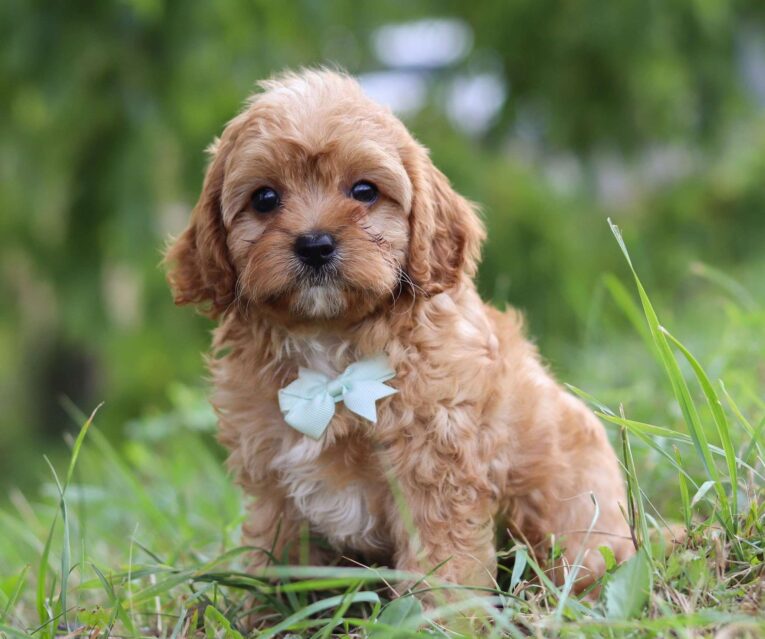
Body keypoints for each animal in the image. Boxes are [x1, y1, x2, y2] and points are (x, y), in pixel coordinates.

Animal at [166, 69, 632, 596]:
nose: (315, 243)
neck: (331, 353)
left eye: (364, 191)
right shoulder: (274, 482)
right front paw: (260, 608)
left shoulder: (435, 471)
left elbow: (443, 567)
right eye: (265, 198)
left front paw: (442, 613)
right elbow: (275, 557)